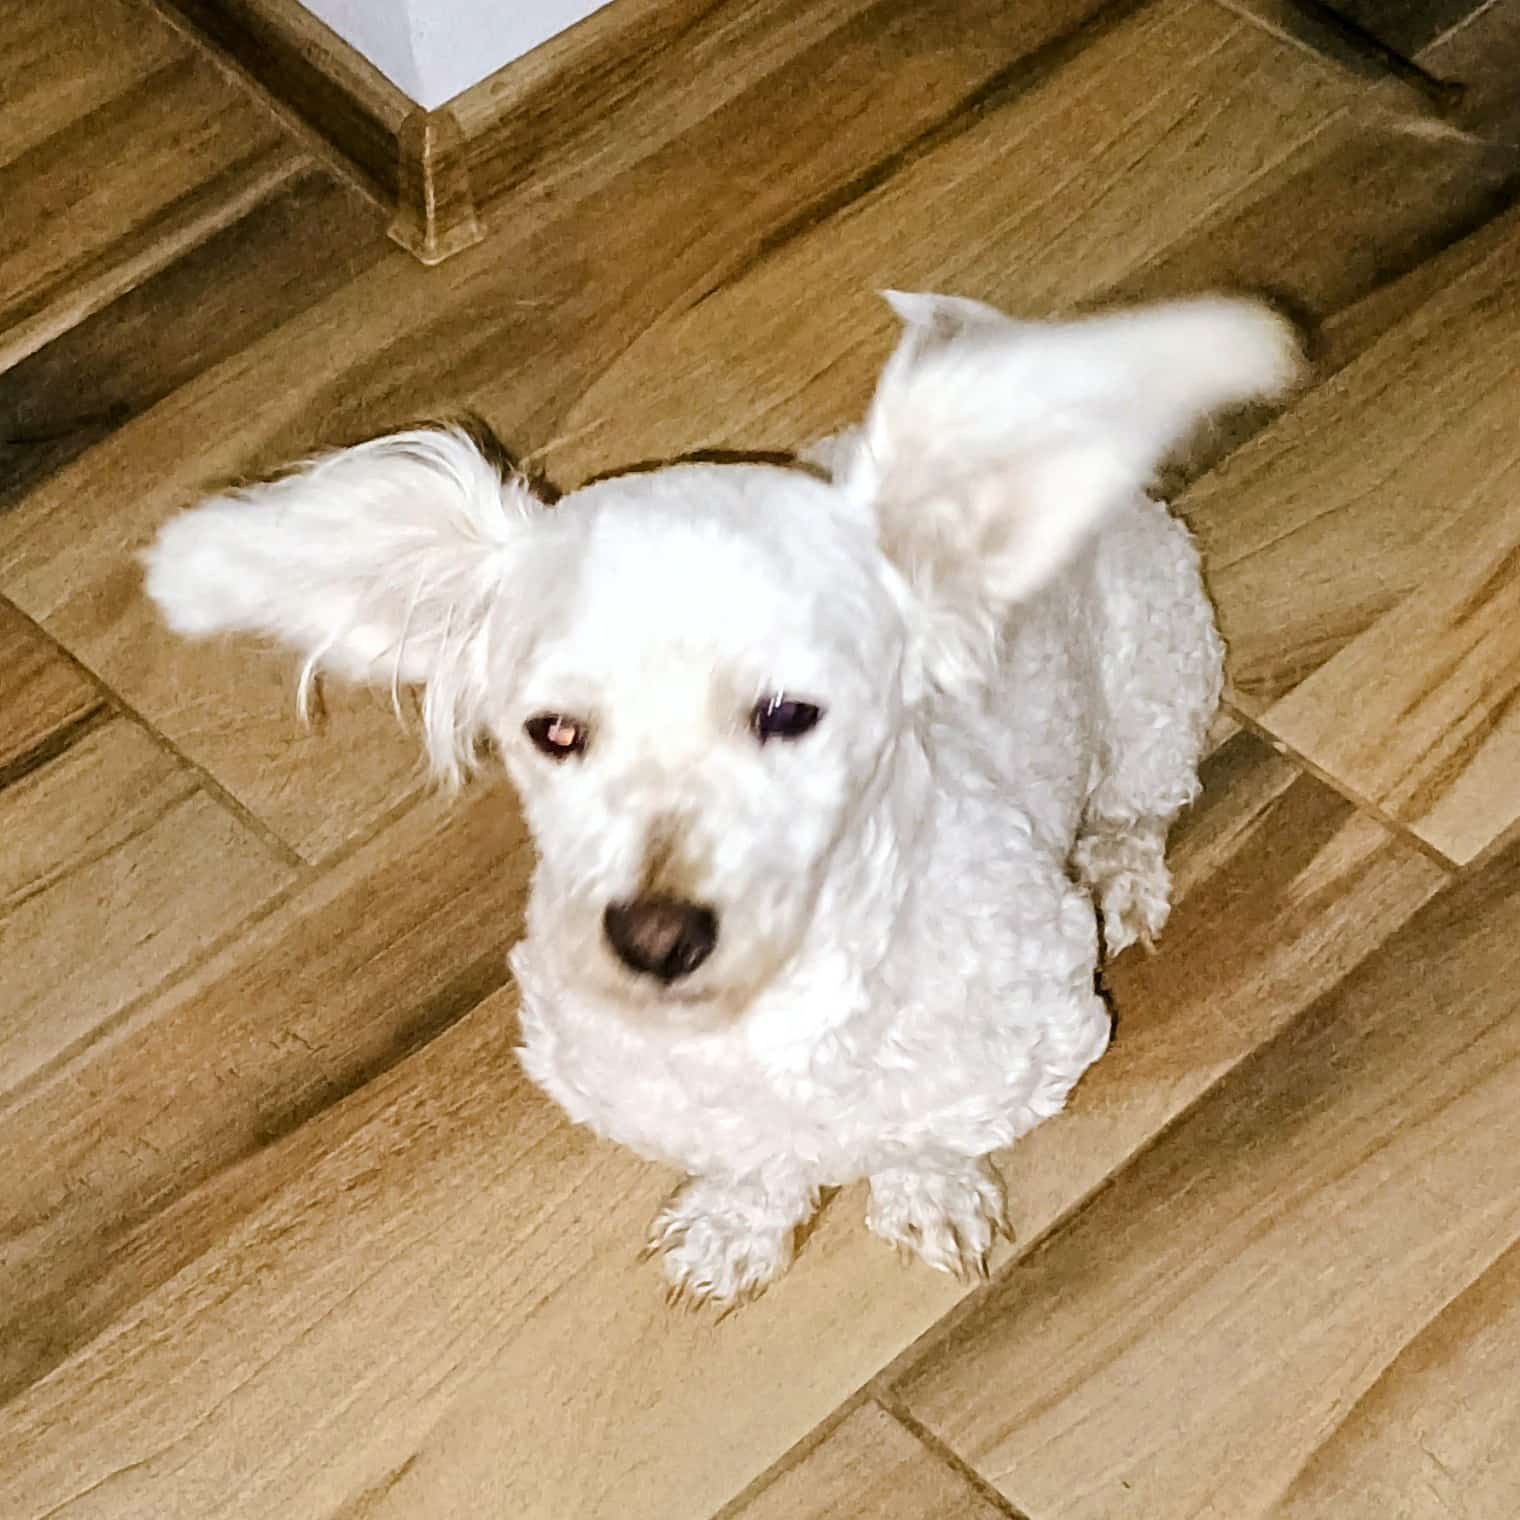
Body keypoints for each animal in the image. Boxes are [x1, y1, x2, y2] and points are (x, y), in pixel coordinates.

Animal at [144, 291, 1300, 1306]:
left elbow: (924, 1127)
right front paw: (738, 1225)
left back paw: (1121, 870)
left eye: (789, 712)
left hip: (1156, 676)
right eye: (551, 730)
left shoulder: (1028, 1036)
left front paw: (927, 1191)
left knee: (1139, 799)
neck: (768, 1017)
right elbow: (753, 1158)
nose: (654, 938)